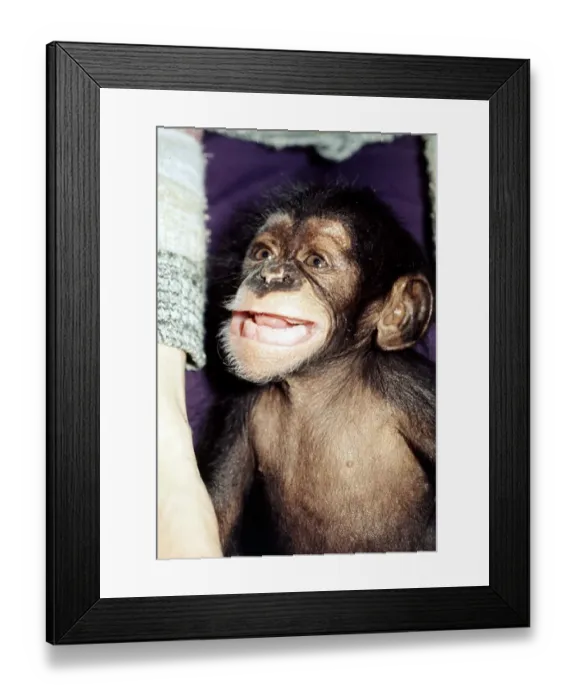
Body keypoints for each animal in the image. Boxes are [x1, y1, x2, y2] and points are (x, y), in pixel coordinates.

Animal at [196, 183, 436, 556]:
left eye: (316, 261)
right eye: (263, 253)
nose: (271, 275)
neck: (315, 384)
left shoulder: (416, 393)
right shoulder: (236, 411)